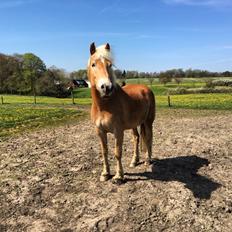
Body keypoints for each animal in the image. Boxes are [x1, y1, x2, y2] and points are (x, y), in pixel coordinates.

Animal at [87, 42, 156, 183]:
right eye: (93, 64)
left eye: (110, 65)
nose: (106, 87)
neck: (104, 106)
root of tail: (146, 89)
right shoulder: (100, 131)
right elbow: (104, 152)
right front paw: (105, 174)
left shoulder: (118, 131)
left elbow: (117, 153)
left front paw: (119, 176)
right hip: (135, 124)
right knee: (136, 138)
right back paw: (134, 161)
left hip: (148, 121)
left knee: (149, 138)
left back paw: (148, 160)